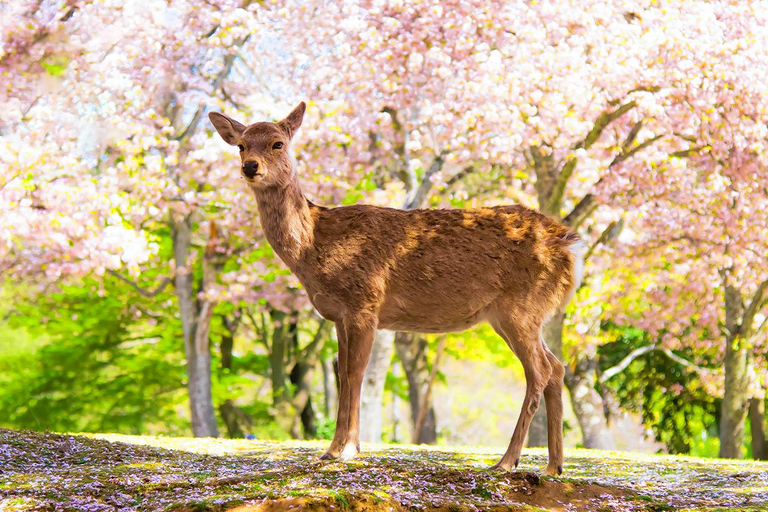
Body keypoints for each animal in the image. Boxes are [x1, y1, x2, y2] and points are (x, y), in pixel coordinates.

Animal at [207, 103, 584, 476]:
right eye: (241, 145)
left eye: (278, 143)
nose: (250, 166)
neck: (315, 244)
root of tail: (570, 247)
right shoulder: (338, 315)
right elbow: (343, 375)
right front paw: (332, 450)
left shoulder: (365, 301)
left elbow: (355, 373)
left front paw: (347, 450)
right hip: (518, 315)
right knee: (557, 367)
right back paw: (554, 466)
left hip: (521, 306)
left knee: (540, 371)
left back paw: (507, 461)